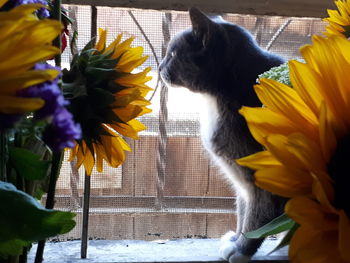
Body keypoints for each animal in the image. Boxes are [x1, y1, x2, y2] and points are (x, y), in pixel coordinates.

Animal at [159, 7, 288, 262]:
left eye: (173, 54)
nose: (159, 67)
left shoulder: (261, 175)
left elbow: (258, 213)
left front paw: (241, 248)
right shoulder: (242, 180)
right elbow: (242, 208)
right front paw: (236, 238)